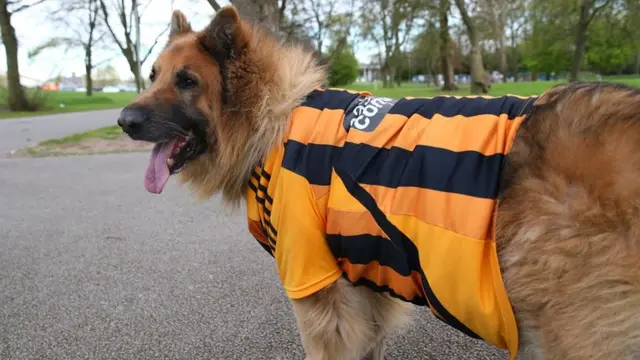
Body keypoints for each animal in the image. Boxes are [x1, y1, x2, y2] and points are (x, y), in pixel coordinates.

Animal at [117, 5, 640, 360]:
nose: (123, 120)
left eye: (187, 81)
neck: (274, 120)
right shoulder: (363, 280)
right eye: (153, 75)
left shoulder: (316, 285)